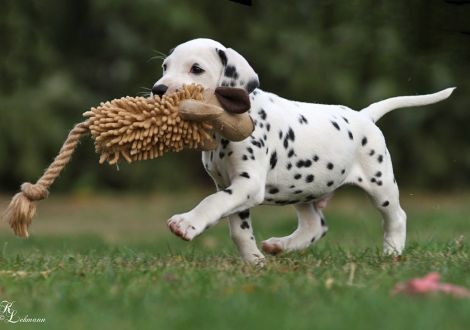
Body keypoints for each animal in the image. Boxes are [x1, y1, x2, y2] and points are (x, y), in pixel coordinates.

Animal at [151, 38, 456, 262]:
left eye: (196, 69)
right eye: (165, 66)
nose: (158, 89)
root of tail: (364, 116)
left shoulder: (247, 184)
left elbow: (211, 203)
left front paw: (186, 223)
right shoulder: (229, 186)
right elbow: (238, 230)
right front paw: (254, 262)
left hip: (380, 185)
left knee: (396, 217)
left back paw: (392, 252)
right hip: (304, 186)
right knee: (315, 225)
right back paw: (282, 246)